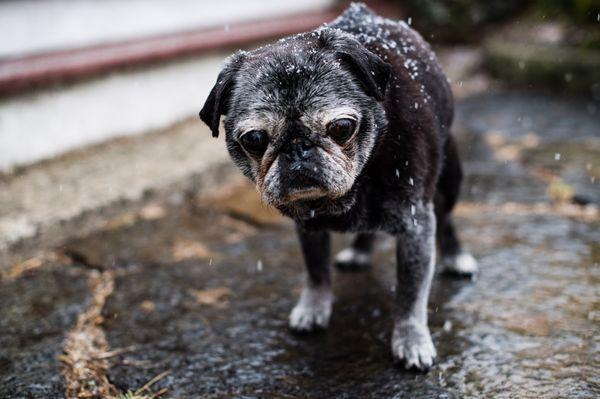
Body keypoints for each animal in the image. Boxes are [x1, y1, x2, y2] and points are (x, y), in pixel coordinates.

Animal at [199, 3, 476, 372]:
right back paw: (360, 251)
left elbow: (410, 293)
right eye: (254, 139)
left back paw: (456, 256)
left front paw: (411, 339)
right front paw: (314, 308)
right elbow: (316, 271)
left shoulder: (415, 225)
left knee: (445, 220)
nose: (298, 149)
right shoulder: (308, 227)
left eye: (342, 127)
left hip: (449, 179)